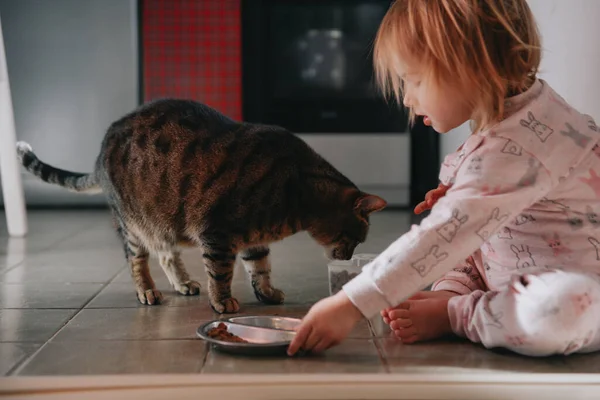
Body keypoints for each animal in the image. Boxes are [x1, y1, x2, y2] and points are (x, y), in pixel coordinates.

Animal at [17, 99, 390, 312]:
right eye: (356, 238)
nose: (348, 257)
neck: (298, 194)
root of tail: (101, 147)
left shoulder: (253, 239)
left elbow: (260, 268)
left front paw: (267, 293)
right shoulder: (218, 233)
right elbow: (222, 273)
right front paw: (222, 302)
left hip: (162, 221)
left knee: (166, 254)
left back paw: (183, 284)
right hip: (134, 225)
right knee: (137, 260)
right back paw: (148, 291)